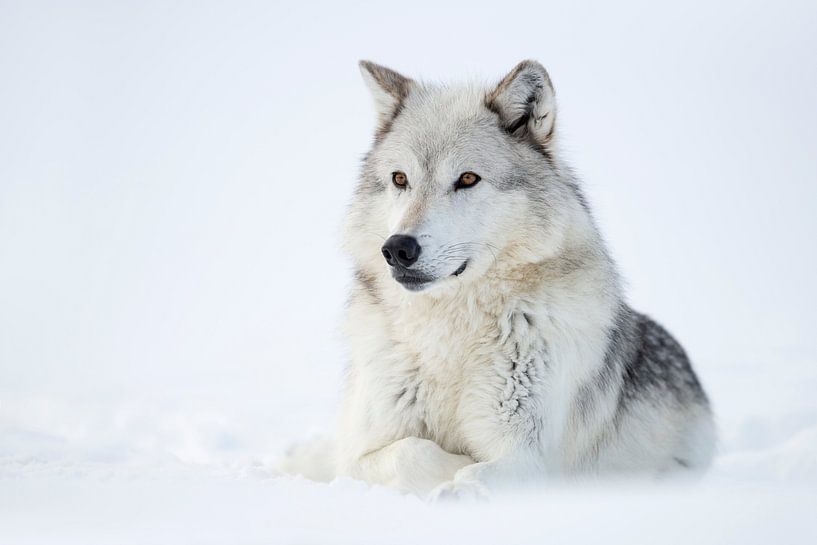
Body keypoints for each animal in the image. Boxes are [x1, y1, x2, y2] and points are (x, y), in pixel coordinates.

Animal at [280, 61, 712, 500]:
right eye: (400, 179)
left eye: (468, 179)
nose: (398, 248)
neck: (449, 335)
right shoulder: (365, 451)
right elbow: (410, 452)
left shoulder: (526, 456)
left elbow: (484, 469)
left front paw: (460, 485)